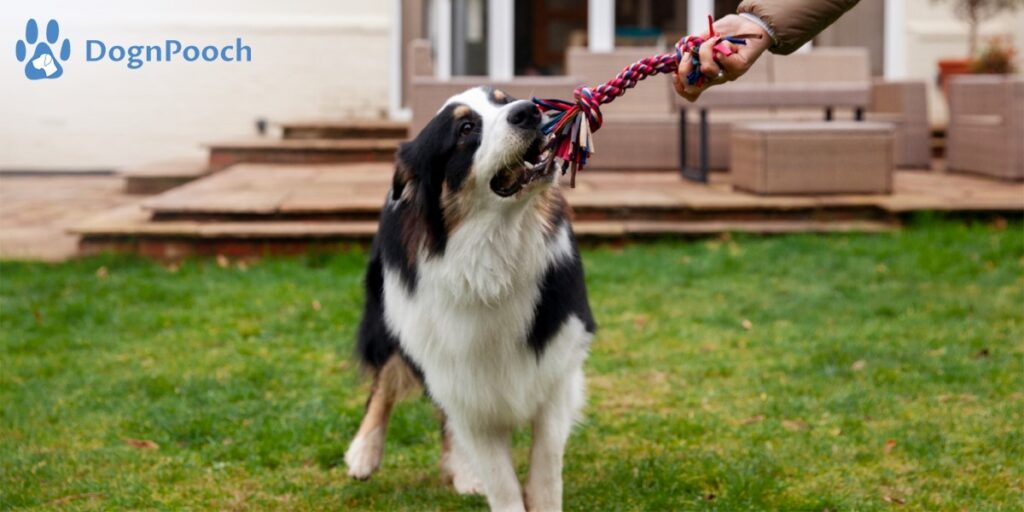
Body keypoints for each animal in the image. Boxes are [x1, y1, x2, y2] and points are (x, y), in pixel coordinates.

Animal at [346, 86, 598, 509]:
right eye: (465, 128)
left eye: (505, 100)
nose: (529, 111)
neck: (491, 259)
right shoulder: (457, 375)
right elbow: (501, 481)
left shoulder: (556, 367)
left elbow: (546, 464)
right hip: (391, 317)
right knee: (385, 379)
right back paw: (364, 452)